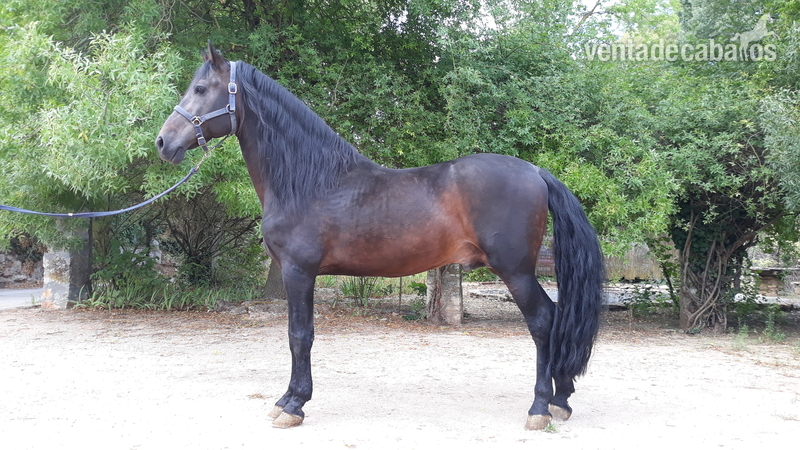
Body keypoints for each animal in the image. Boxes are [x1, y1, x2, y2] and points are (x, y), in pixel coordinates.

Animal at [155, 42, 605, 431]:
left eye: (200, 89)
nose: (163, 142)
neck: (310, 181)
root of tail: (536, 172)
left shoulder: (298, 273)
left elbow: (300, 336)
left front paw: (293, 404)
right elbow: (299, 336)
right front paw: (289, 400)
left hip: (516, 271)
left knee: (544, 322)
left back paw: (539, 407)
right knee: (555, 320)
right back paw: (560, 400)